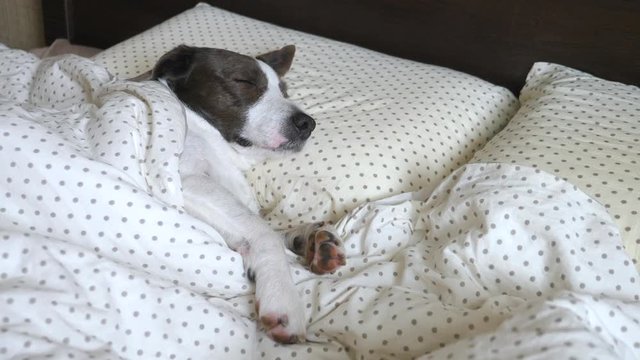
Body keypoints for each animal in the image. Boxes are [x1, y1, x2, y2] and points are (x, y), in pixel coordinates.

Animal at [146, 45, 344, 344]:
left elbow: (266, 227)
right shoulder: (185, 180)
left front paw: (311, 238)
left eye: (284, 91)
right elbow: (264, 231)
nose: (307, 123)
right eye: (244, 81)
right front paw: (282, 295)